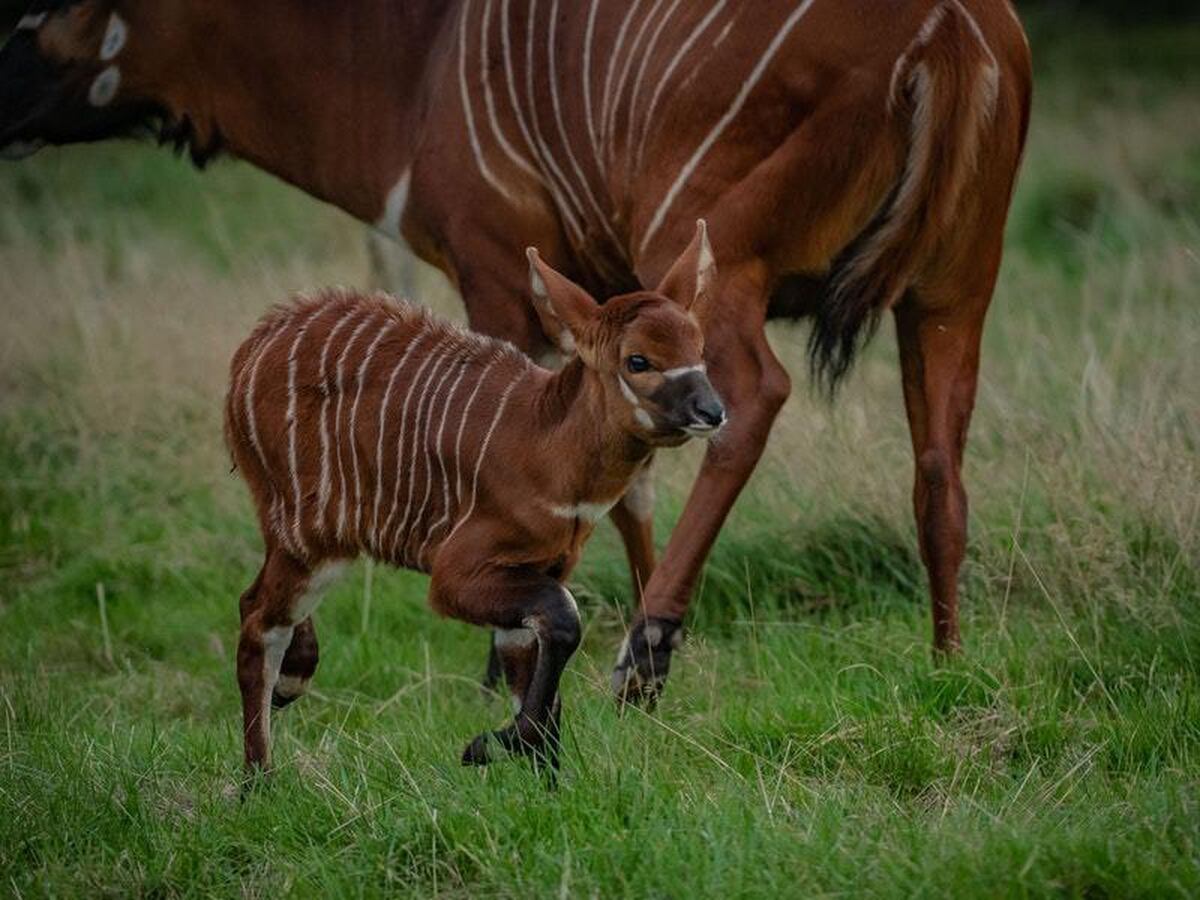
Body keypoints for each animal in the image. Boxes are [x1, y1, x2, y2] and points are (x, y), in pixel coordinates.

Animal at [228, 222, 724, 772]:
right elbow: (563, 620)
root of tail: (252, 349)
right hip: (310, 539)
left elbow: (535, 669)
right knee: (259, 621)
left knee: (255, 605)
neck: (544, 442)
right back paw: (259, 777)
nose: (712, 411)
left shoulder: (541, 570)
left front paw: (532, 766)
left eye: (699, 350)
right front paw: (488, 745)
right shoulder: (455, 575)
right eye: (638, 360)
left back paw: (286, 695)